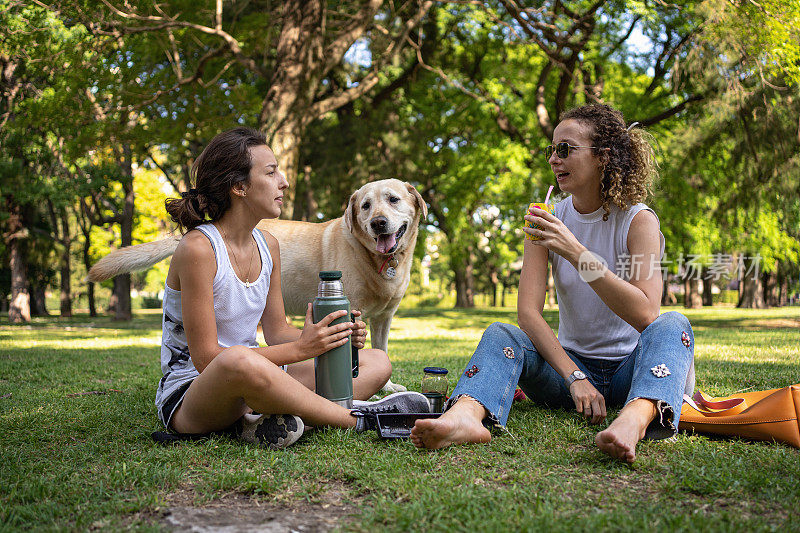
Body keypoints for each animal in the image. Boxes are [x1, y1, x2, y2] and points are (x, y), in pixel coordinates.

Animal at [88, 181, 428, 392]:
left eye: (393, 199)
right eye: (366, 206)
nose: (378, 223)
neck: (379, 261)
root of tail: (197, 228)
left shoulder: (384, 318)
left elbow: (381, 350)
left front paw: (388, 387)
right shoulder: (353, 310)